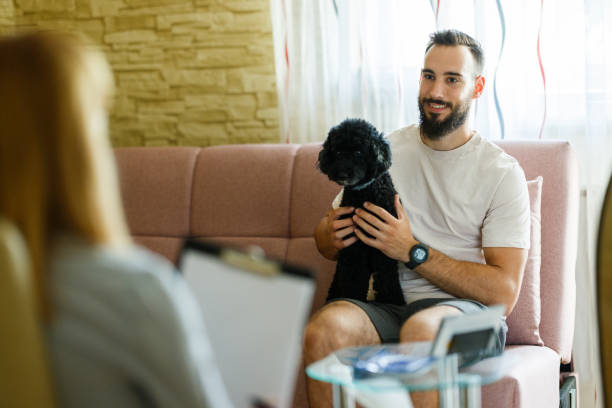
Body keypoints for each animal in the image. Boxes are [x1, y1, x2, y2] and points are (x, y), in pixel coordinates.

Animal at [316, 118, 406, 306]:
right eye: (337, 151)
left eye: (358, 152)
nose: (342, 174)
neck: (364, 192)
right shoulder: (353, 248)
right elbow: (354, 279)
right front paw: (351, 300)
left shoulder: (383, 247)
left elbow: (387, 277)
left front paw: (393, 301)